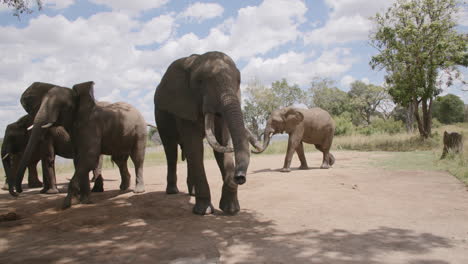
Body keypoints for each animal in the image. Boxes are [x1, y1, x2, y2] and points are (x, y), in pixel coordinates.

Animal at [62, 80, 146, 208]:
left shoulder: (92, 127)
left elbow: (89, 157)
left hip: (139, 130)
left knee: (137, 157)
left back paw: (137, 191)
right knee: (119, 160)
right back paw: (123, 188)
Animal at [154, 50, 262, 216]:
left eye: (239, 81)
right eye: (199, 81)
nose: (239, 177)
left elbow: (221, 143)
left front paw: (231, 209)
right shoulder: (184, 104)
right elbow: (196, 148)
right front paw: (204, 211)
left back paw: (192, 193)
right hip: (161, 117)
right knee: (171, 150)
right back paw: (172, 191)